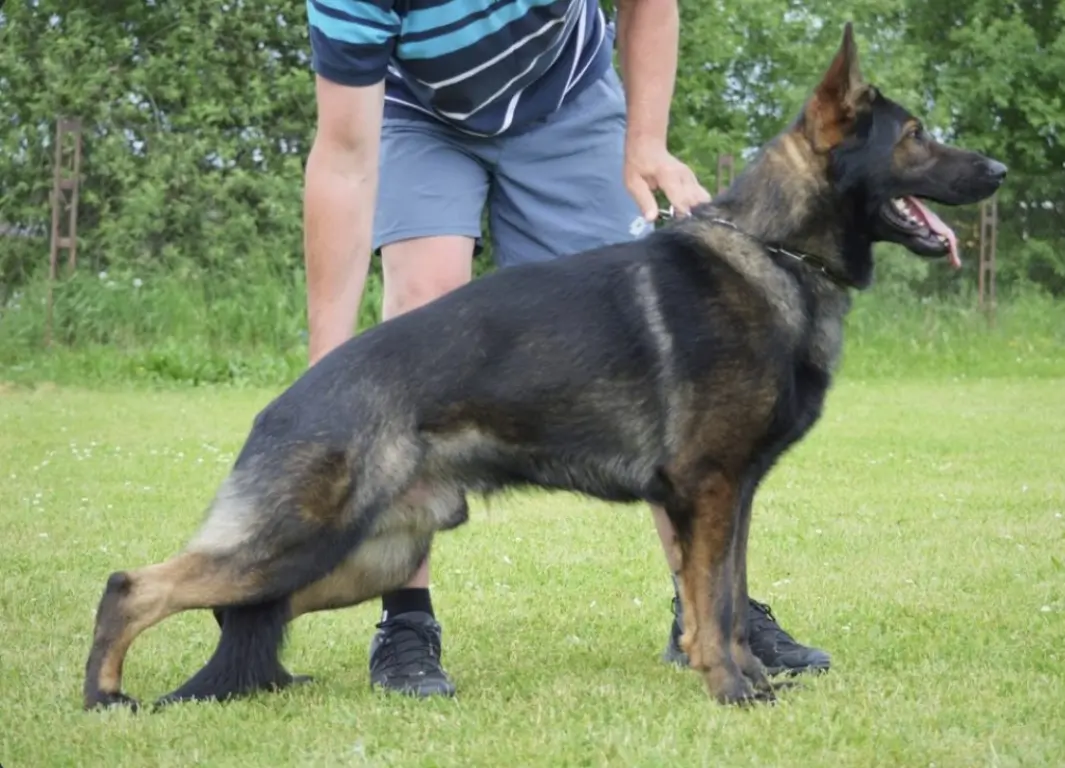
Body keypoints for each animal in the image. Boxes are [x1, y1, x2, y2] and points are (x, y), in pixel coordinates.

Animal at [83, 22, 1005, 707]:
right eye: (916, 135)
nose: (998, 169)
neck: (775, 251)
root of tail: (284, 402)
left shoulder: (731, 495)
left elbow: (729, 600)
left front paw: (749, 675)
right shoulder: (708, 489)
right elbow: (711, 606)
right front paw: (730, 690)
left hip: (366, 554)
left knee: (235, 607)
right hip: (300, 539)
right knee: (132, 584)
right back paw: (104, 699)